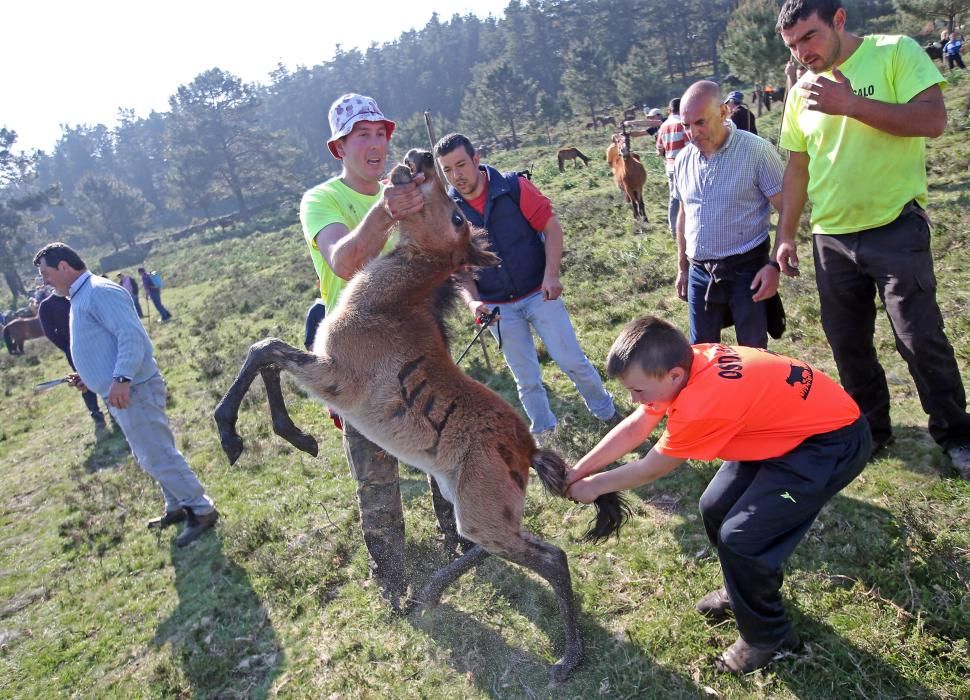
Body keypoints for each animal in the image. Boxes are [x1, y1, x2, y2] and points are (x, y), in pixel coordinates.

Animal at [214, 149, 628, 684]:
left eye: (456, 215)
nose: (422, 156)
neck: (387, 306)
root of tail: (530, 445)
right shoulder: (323, 370)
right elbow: (265, 357)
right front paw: (296, 435)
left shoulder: (332, 376)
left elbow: (263, 349)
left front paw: (238, 433)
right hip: (472, 502)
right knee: (482, 541)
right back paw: (429, 591)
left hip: (482, 506)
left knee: (550, 556)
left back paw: (568, 658)